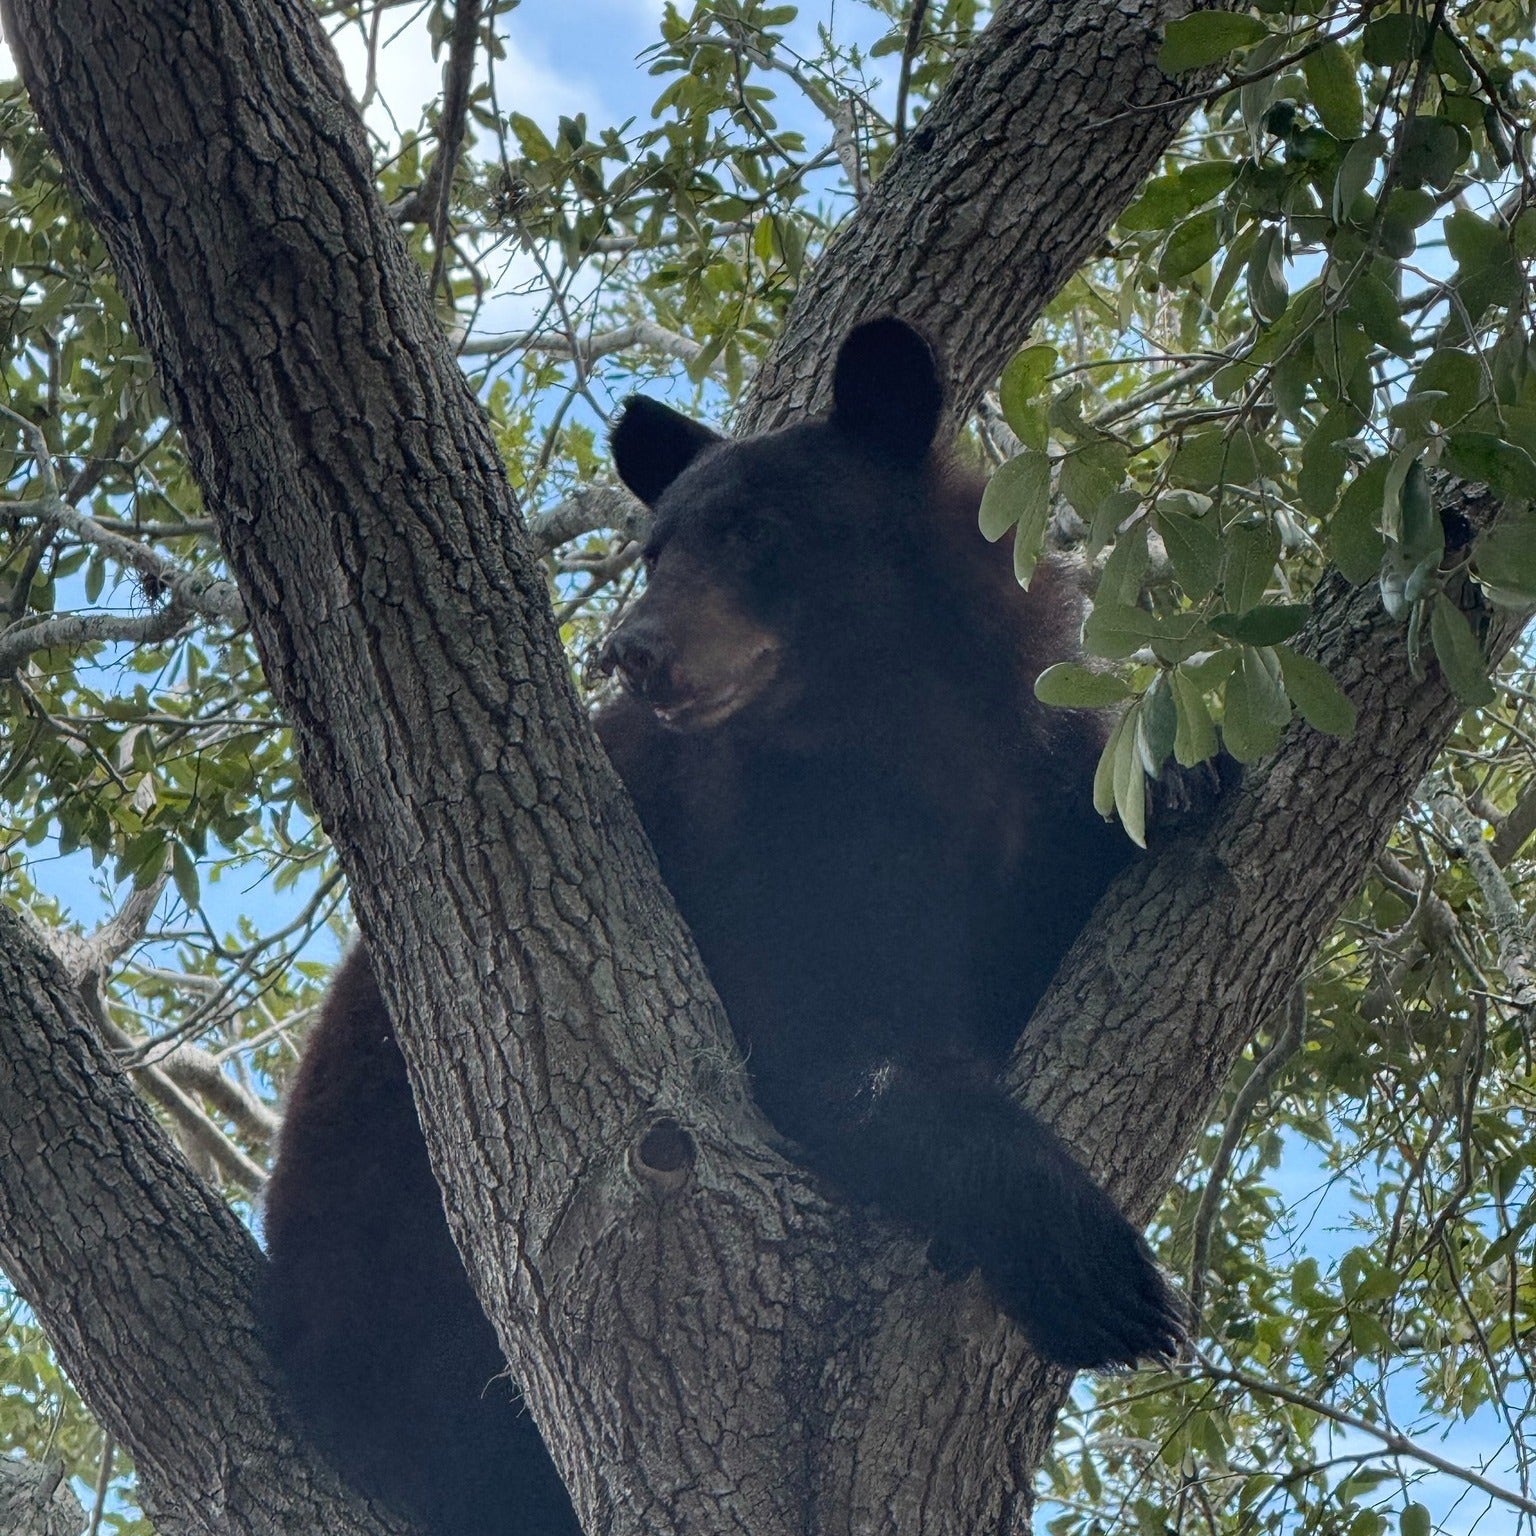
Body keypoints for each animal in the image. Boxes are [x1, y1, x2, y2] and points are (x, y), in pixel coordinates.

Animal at [261, 317, 1184, 1536]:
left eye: (754, 530)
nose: (632, 649)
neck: (896, 731)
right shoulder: (745, 854)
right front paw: (1094, 1267)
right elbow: (820, 1052)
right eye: (656, 551)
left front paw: (1188, 779)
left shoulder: (1011, 784)